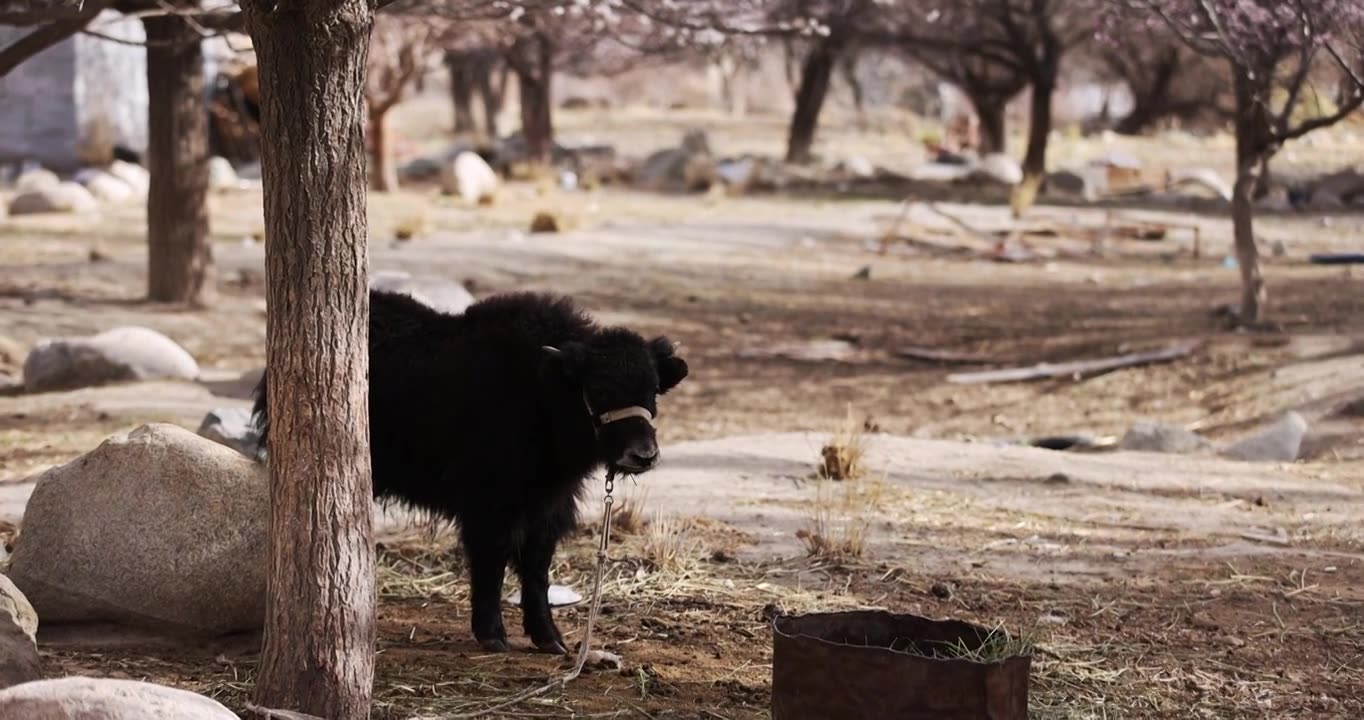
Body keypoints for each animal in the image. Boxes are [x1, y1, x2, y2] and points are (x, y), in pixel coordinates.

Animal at [252, 287, 687, 651]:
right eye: (597, 391)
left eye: (652, 390)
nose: (643, 454)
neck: (541, 395)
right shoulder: (489, 503)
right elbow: (491, 560)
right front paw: (492, 635)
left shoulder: (548, 507)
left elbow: (536, 568)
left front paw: (550, 639)